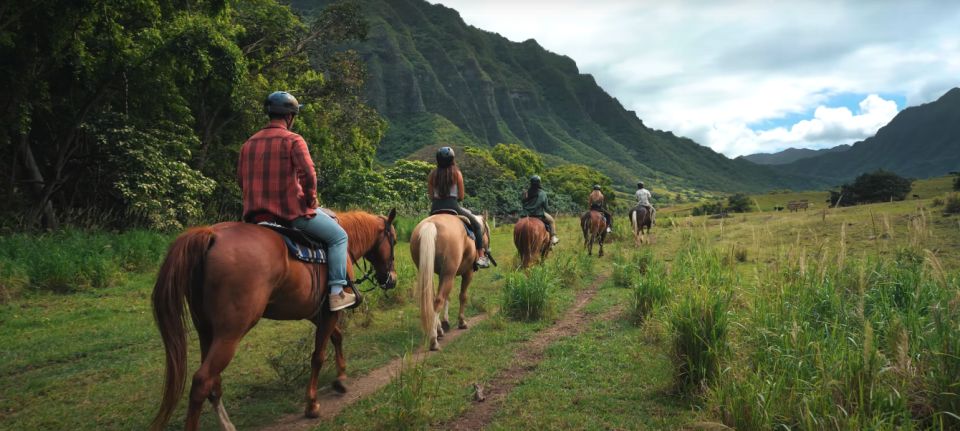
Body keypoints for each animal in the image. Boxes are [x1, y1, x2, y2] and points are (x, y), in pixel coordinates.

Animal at [148, 210, 396, 431]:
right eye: (392, 240)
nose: (391, 279)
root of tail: (211, 235)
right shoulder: (330, 312)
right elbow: (318, 356)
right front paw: (312, 404)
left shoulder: (317, 313)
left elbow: (337, 336)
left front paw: (341, 378)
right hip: (230, 333)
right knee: (202, 381)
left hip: (206, 330)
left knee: (213, 383)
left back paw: (228, 425)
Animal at [410, 213, 492, 352]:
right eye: (486, 232)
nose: (487, 251)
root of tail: (430, 224)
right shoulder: (467, 273)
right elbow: (463, 296)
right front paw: (462, 322)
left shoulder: (444, 275)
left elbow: (448, 297)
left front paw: (446, 322)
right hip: (449, 273)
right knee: (438, 301)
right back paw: (433, 341)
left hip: (431, 271)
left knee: (433, 299)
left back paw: (438, 330)